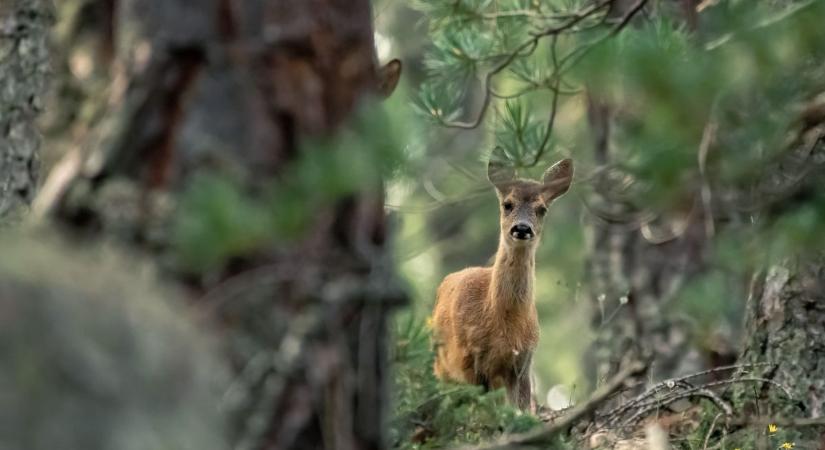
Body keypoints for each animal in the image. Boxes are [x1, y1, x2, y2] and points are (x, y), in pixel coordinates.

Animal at [432, 155, 572, 412]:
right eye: (508, 204)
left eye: (541, 209)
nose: (522, 228)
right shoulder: (470, 360)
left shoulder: (523, 362)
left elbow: (522, 410)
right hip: (443, 367)